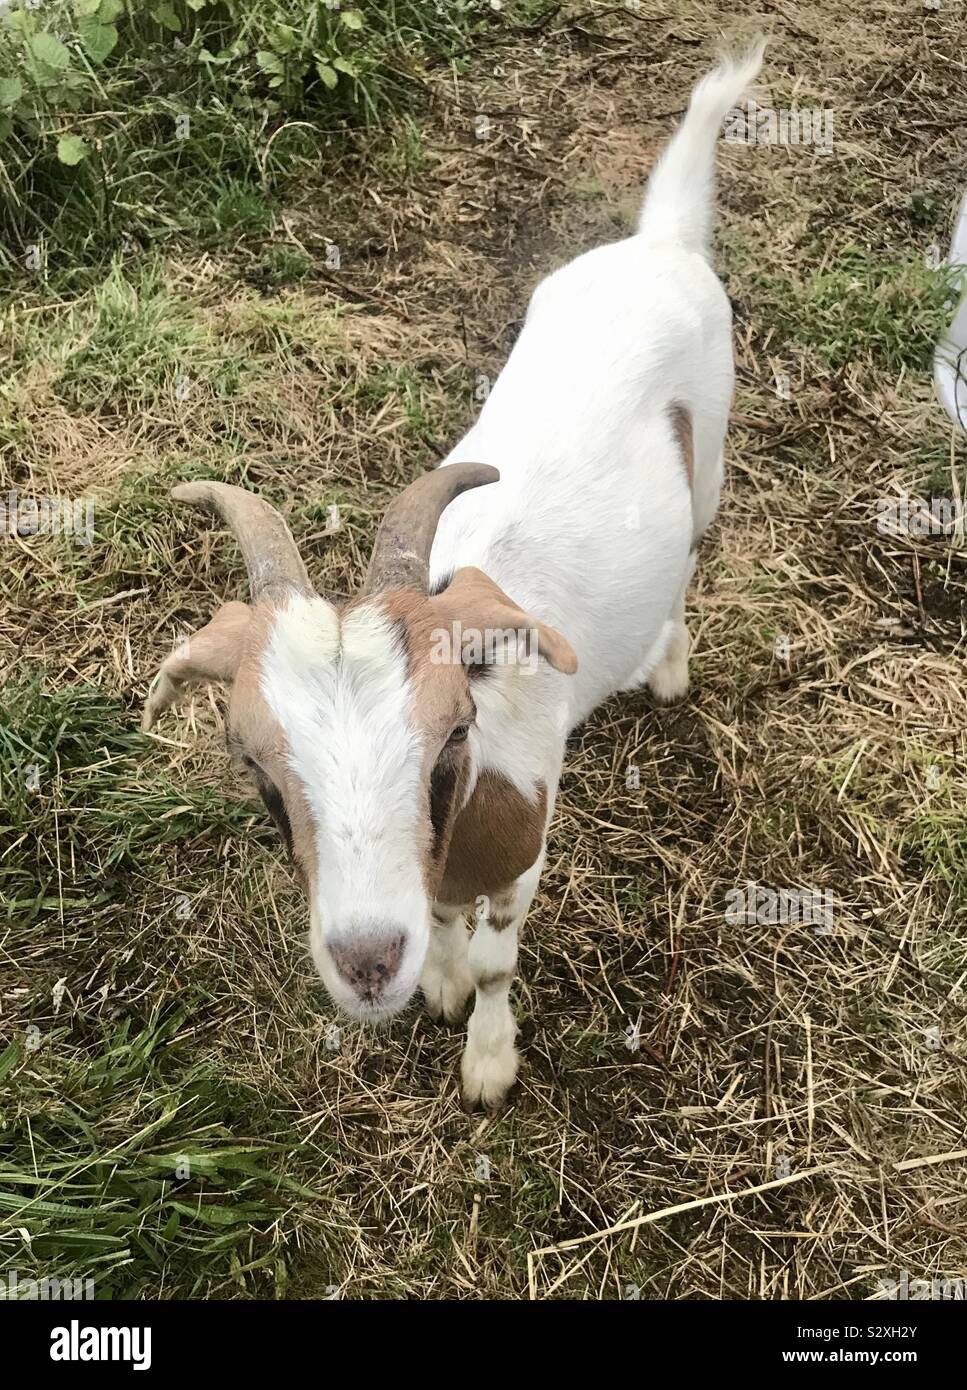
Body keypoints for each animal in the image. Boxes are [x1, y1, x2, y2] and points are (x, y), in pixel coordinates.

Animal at [143, 51, 761, 1106]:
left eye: (451, 739)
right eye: (253, 764)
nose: (366, 962)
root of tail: (659, 242)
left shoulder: (526, 843)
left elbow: (499, 959)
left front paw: (486, 1059)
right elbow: (442, 924)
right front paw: (433, 978)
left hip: (711, 453)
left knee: (688, 555)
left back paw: (668, 665)